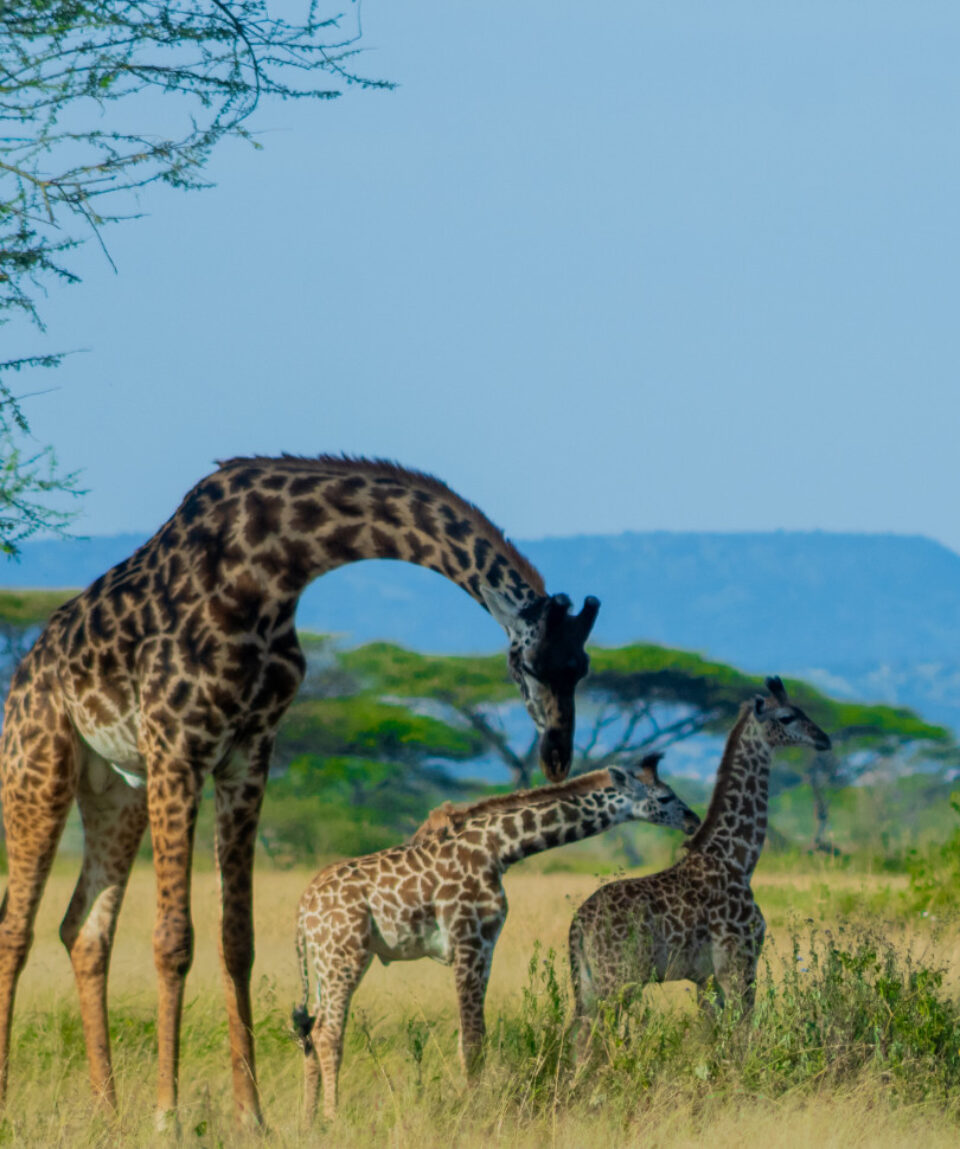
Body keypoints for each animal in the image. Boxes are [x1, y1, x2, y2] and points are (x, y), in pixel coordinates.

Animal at [0, 454, 601, 1127]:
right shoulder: (178, 747)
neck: (276, 565)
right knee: (16, 931)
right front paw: (168, 1117)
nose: (556, 756)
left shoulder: (249, 753)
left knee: (83, 931)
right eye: (531, 664)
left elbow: (237, 940)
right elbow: (173, 940)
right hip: (38, 766)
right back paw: (25, 1100)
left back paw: (107, 1110)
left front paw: (250, 1116)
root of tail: (26, 669)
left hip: (116, 790)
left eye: (582, 668)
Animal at [291, 753, 700, 1121]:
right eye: (665, 797)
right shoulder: (470, 939)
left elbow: (475, 1035)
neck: (499, 848)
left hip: (324, 962)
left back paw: (309, 1120)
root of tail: (304, 908)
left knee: (310, 1029)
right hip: (346, 955)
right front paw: (473, 1108)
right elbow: (473, 1037)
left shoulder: (481, 945)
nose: (693, 820)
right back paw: (332, 1117)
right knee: (328, 1032)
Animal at [568, 677, 830, 1049]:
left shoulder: (705, 977)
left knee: (578, 1037)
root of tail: (577, 925)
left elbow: (712, 1037)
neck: (738, 858)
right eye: (787, 716)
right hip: (619, 979)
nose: (824, 739)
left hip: (589, 984)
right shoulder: (738, 963)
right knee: (593, 1040)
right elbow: (742, 1032)